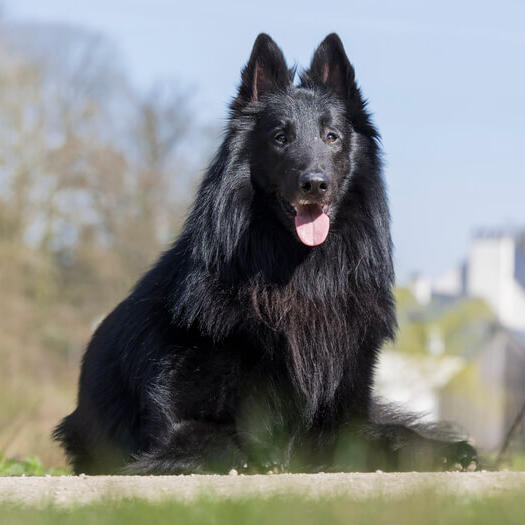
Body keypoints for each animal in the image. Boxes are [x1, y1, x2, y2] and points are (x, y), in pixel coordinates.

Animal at [52, 33, 474, 474]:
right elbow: (227, 441)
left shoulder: (343, 420)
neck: (301, 277)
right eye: (280, 137)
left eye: (332, 136)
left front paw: (445, 451)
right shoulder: (177, 428)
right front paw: (267, 456)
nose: (314, 184)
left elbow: (391, 436)